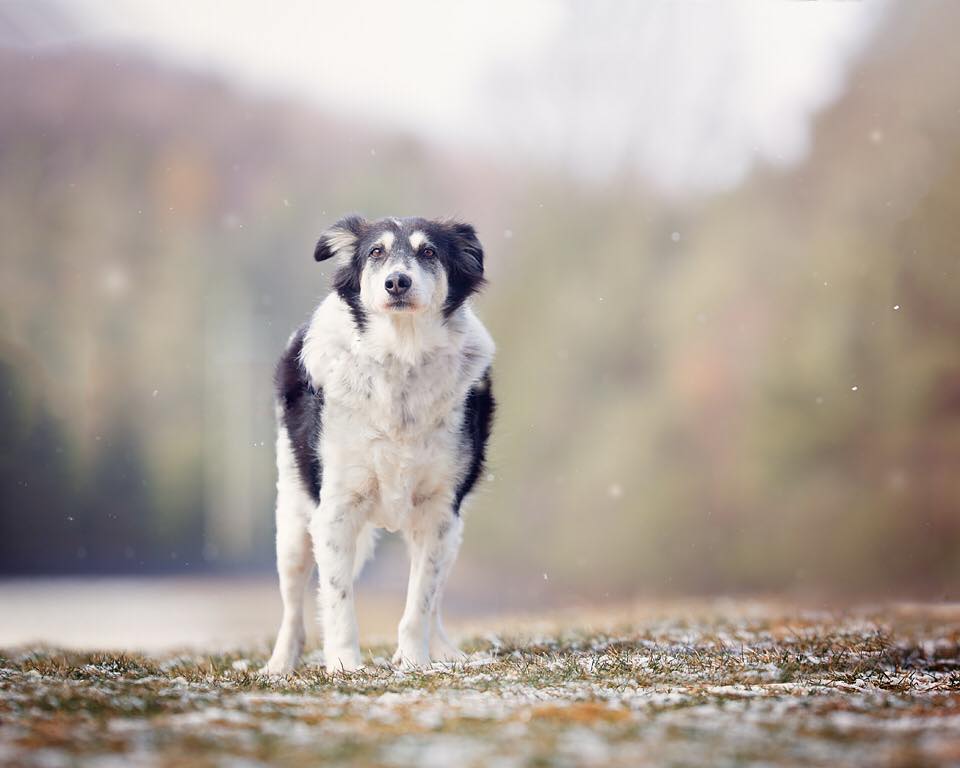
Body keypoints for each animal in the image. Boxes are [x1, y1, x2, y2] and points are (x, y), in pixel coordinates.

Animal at [260, 214, 496, 672]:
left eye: (428, 252)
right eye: (376, 252)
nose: (397, 282)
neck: (401, 355)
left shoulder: (439, 511)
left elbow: (420, 600)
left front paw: (415, 660)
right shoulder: (335, 509)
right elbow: (338, 599)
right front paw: (345, 665)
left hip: (453, 532)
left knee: (435, 598)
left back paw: (444, 650)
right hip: (293, 522)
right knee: (293, 606)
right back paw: (280, 665)